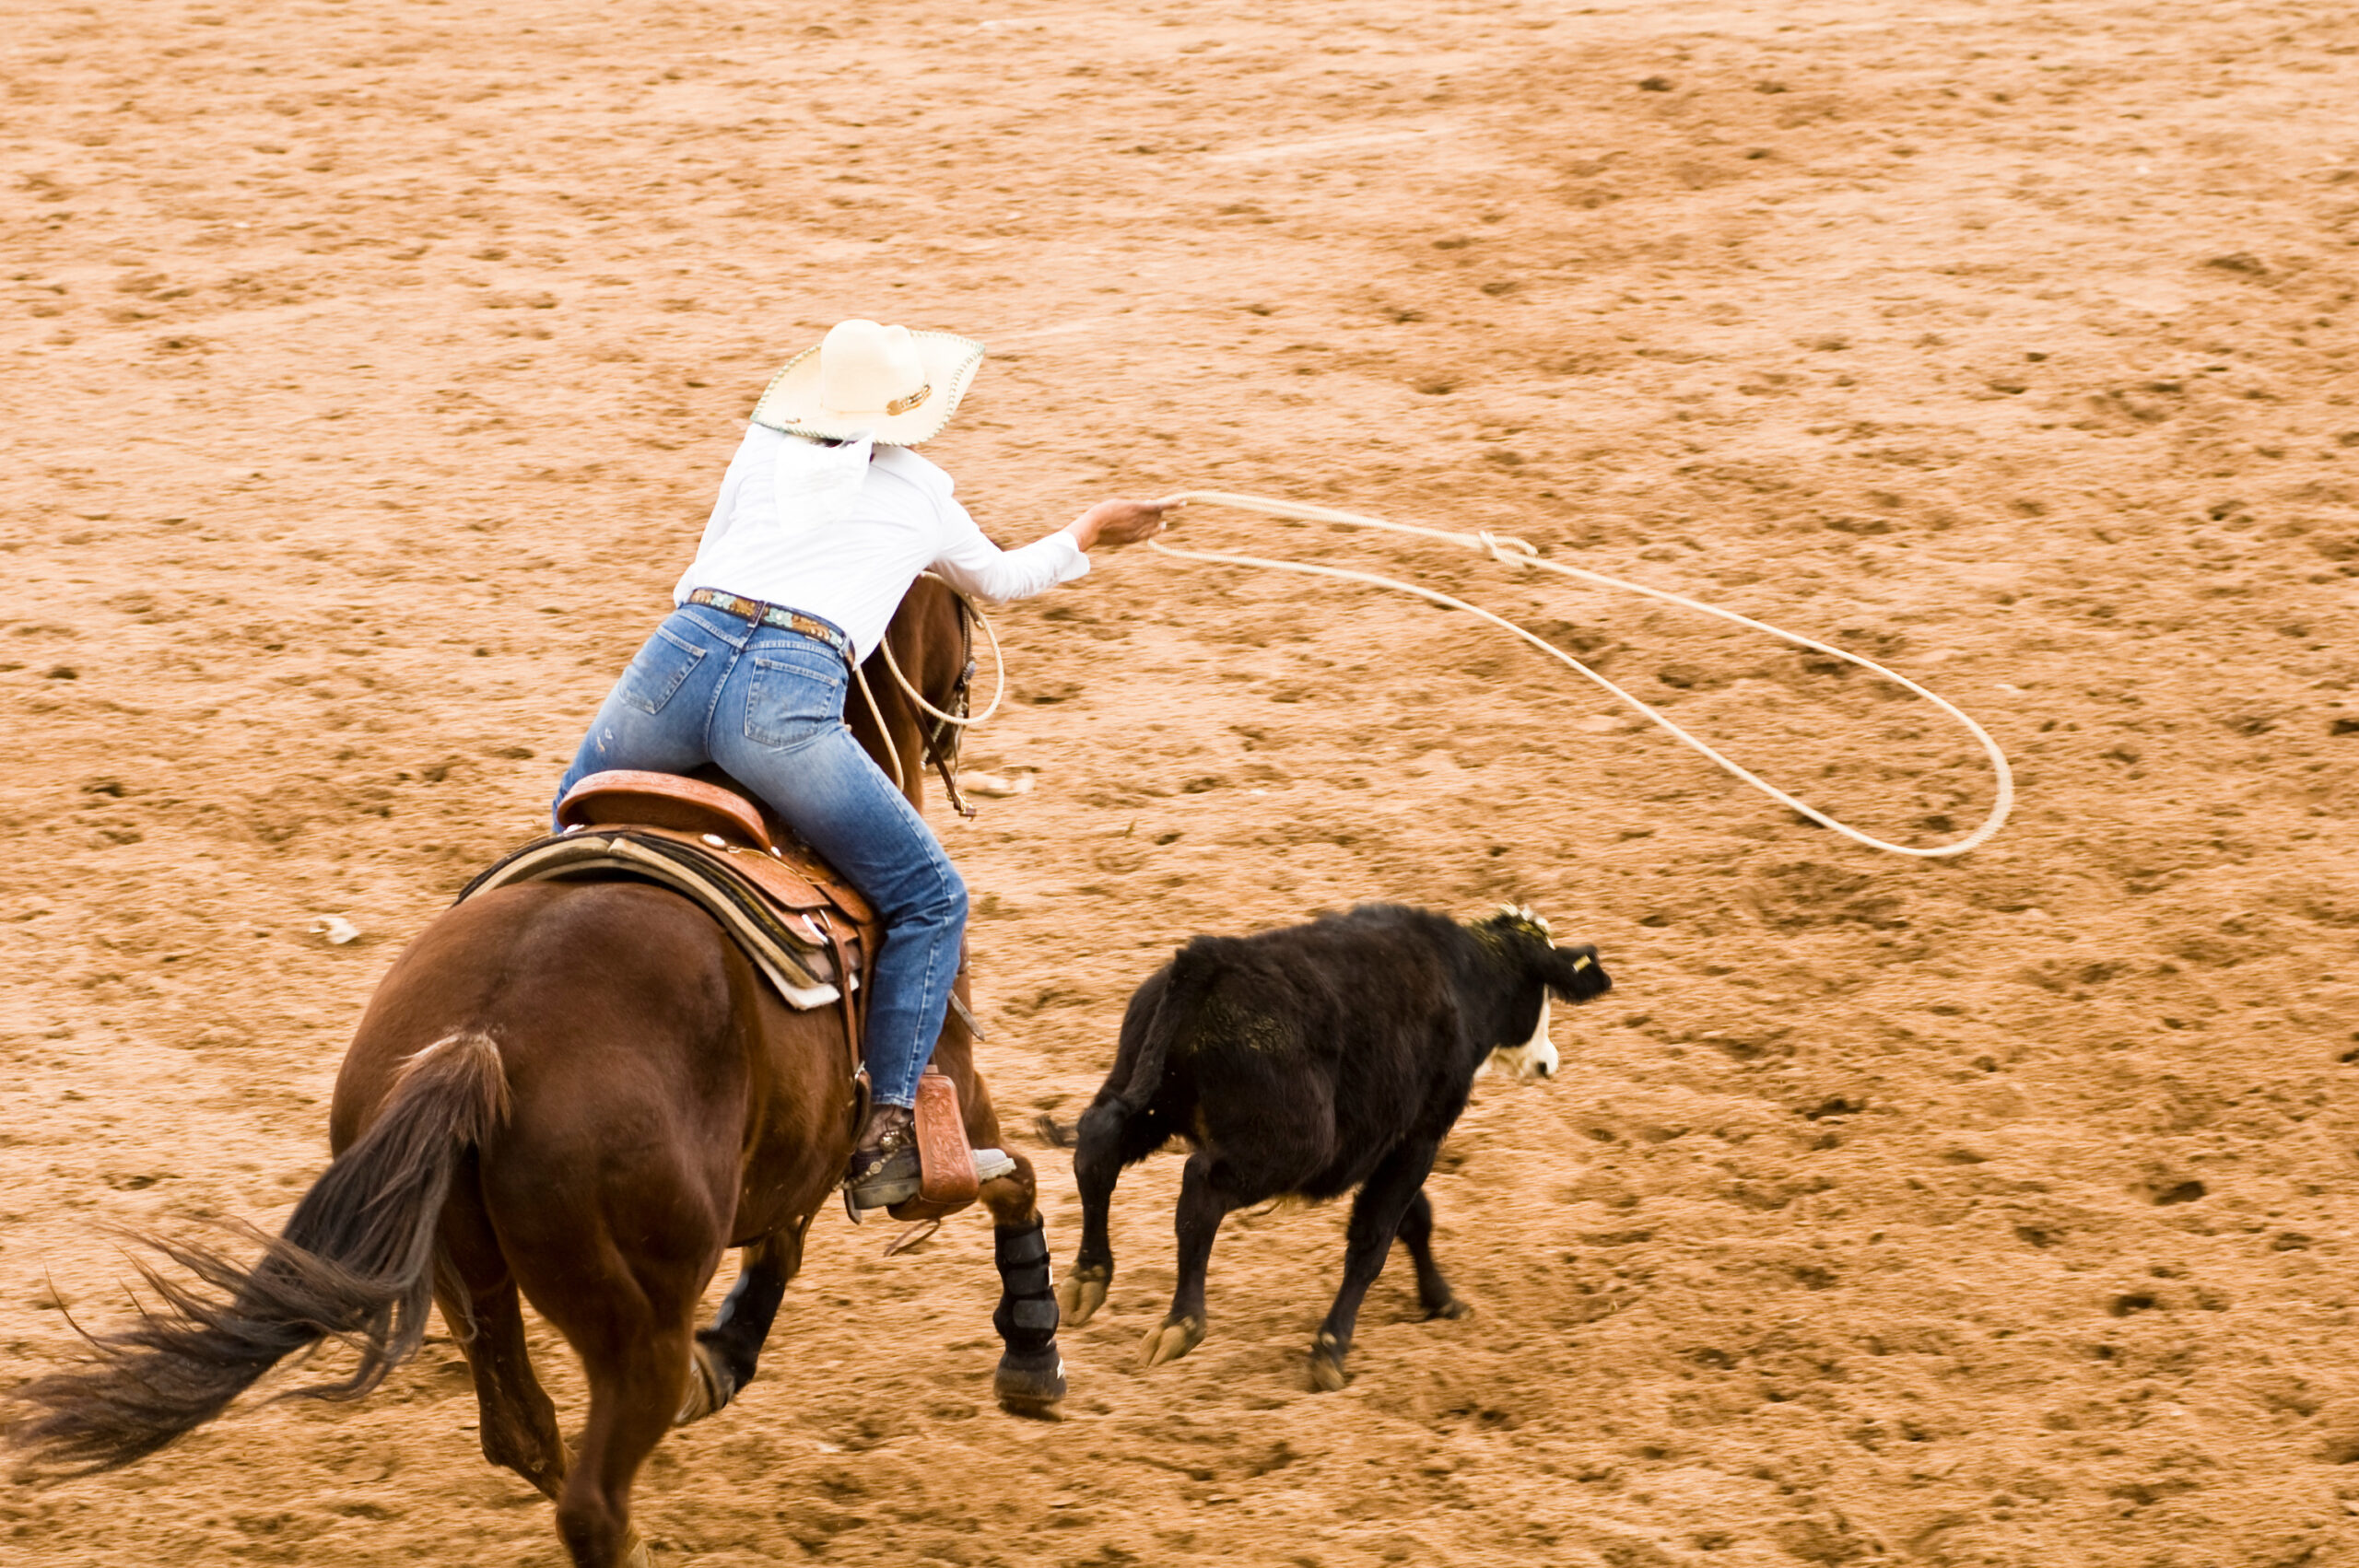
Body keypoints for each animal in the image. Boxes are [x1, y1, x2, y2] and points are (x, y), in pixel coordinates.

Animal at [6, 579, 1062, 1565]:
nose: (954, 711)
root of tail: (481, 1045)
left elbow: (784, 1246)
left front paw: (730, 1355)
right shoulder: (946, 1089)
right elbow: (1010, 1179)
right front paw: (1036, 1346)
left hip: (468, 1275)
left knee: (527, 1435)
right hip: (633, 1314)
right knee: (593, 1490)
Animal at [1062, 900, 1614, 1386]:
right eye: (1543, 994)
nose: (1548, 1061)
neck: (1465, 978)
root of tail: (1210, 959)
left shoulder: (1387, 1142)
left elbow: (1415, 1220)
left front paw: (1441, 1299)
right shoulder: (1419, 1137)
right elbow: (1375, 1240)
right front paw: (1331, 1347)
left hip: (1144, 1100)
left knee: (1097, 1145)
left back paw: (1087, 1280)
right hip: (1291, 1148)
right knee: (1200, 1189)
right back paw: (1182, 1322)